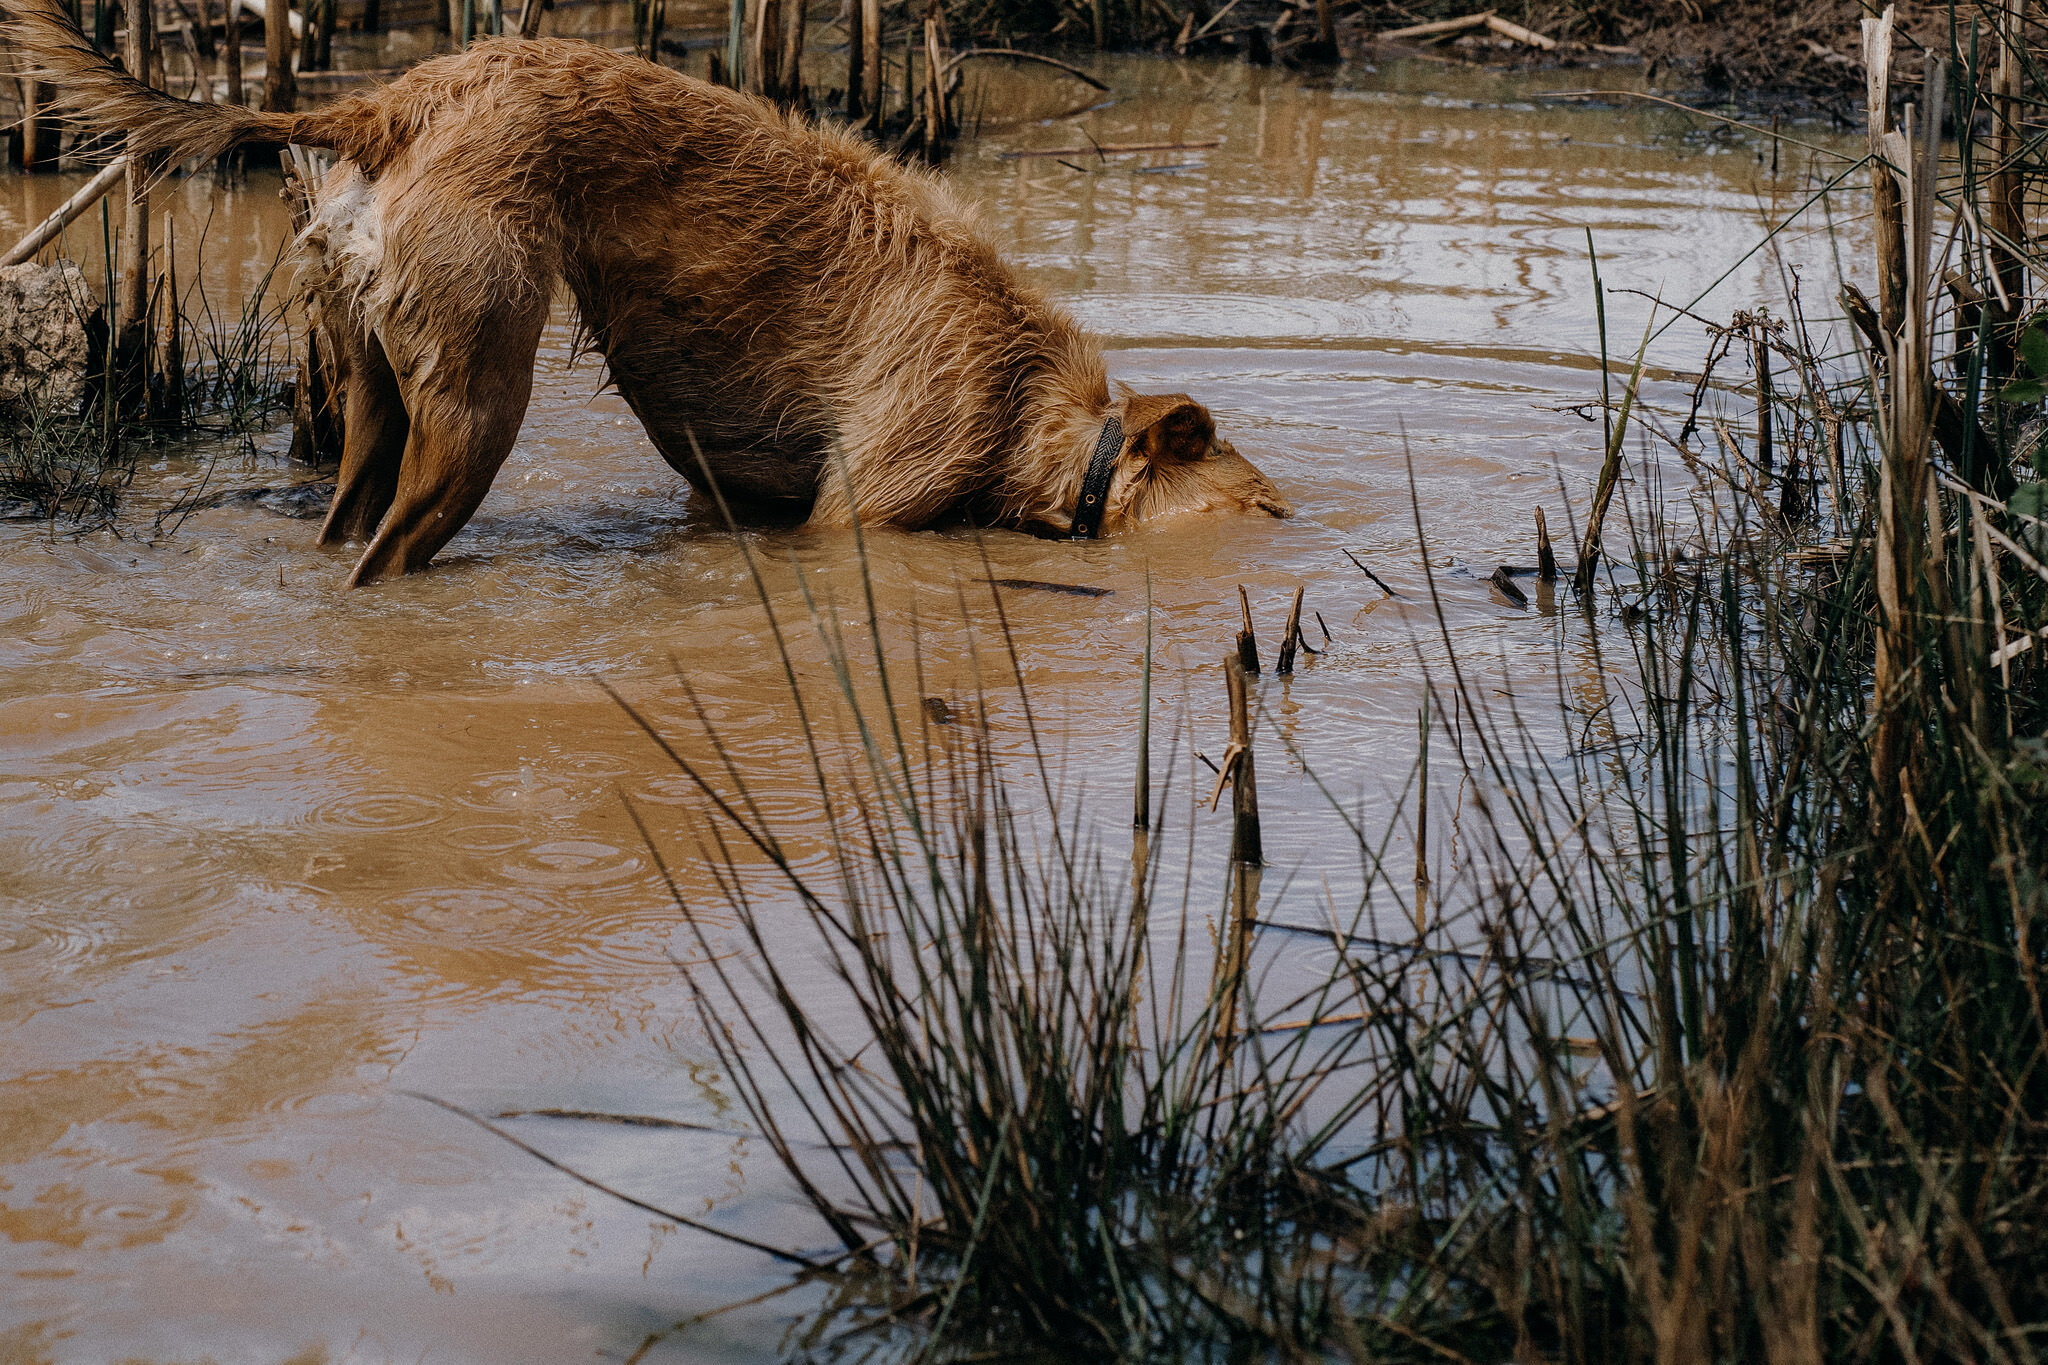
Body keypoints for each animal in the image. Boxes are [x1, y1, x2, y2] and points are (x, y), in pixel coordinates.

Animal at [8, 7, 1286, 589]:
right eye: (1265, 508)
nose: (1298, 530)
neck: (1034, 405)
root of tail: (398, 103)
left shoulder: (729, 497)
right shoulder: (852, 522)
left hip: (369, 396)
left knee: (343, 524)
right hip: (474, 409)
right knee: (391, 558)